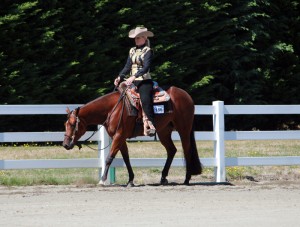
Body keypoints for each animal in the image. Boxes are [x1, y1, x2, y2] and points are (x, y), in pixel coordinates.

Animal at [63, 86, 204, 185]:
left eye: (72, 124)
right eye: (65, 124)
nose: (65, 144)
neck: (112, 109)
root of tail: (187, 96)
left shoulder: (119, 136)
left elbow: (109, 157)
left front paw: (102, 180)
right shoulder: (120, 137)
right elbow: (126, 158)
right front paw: (130, 180)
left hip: (183, 130)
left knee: (187, 150)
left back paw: (187, 179)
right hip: (164, 131)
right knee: (172, 150)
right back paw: (163, 178)